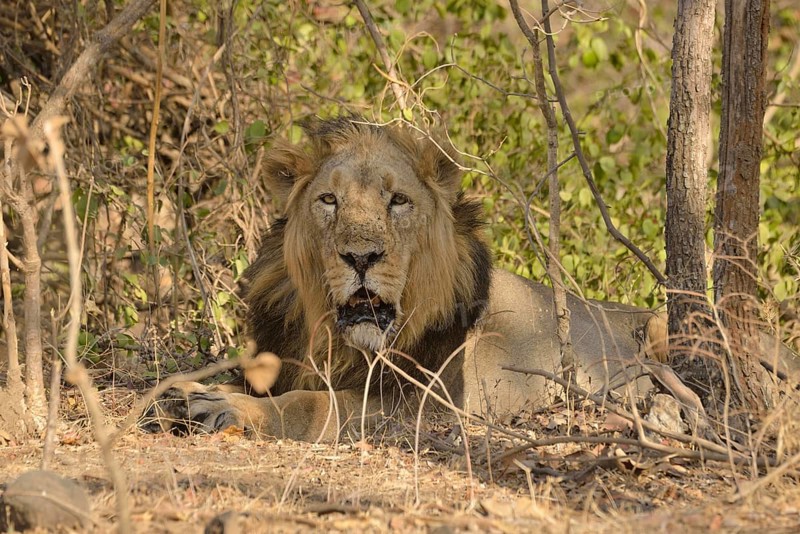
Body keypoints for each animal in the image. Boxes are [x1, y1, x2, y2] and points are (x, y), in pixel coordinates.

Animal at [144, 116, 793, 441]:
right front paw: (183, 391)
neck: (337, 337)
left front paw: (222, 409)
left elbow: (316, 405)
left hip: (671, 327)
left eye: (399, 201)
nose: (361, 257)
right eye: (329, 200)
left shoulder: (431, 408)